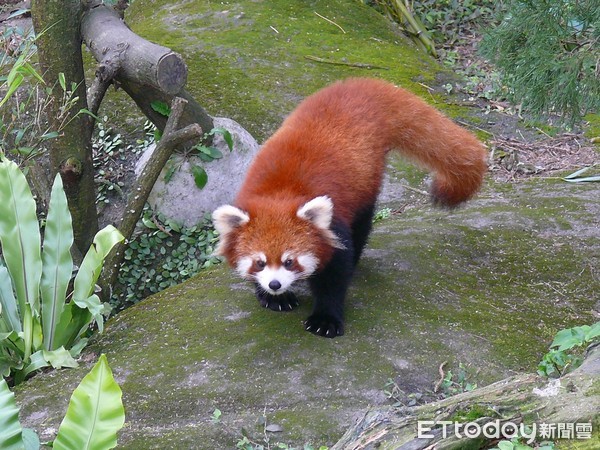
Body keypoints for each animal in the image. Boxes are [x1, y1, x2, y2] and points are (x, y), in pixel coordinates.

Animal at [211, 77, 488, 338]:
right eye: (259, 262)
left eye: (290, 261)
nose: (275, 284)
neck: (280, 192)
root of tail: (357, 87)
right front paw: (271, 297)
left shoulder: (335, 226)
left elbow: (335, 275)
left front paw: (325, 319)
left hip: (367, 181)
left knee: (363, 225)